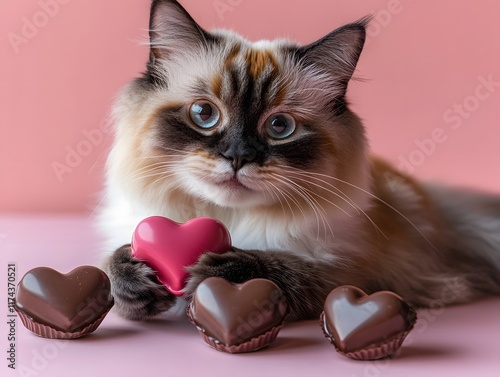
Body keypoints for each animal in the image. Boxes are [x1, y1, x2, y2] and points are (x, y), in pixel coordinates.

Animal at [99, 0, 500, 320]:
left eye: (280, 126)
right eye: (204, 114)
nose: (238, 156)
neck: (229, 218)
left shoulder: (351, 272)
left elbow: (283, 267)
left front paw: (214, 270)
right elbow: (107, 267)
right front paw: (134, 279)